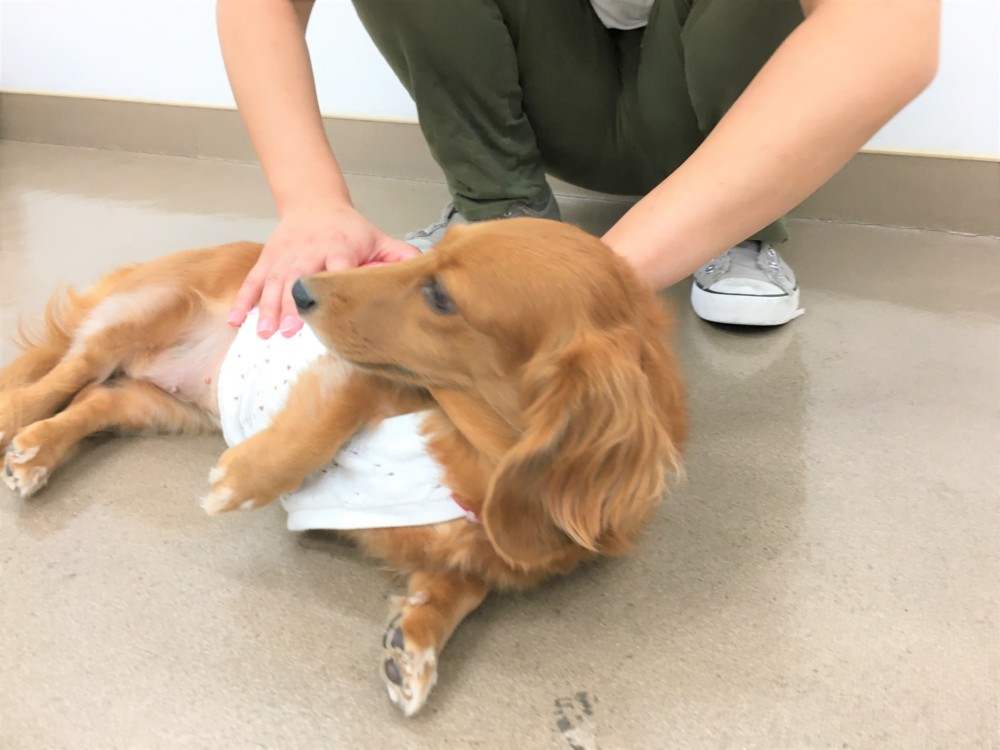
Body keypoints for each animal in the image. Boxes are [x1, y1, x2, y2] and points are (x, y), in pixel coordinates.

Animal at [0, 218, 686, 715]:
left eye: (441, 295)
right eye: (434, 253)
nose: (300, 289)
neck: (481, 459)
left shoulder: (478, 548)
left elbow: (462, 587)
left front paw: (416, 643)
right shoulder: (370, 376)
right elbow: (339, 404)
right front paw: (247, 477)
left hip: (160, 406)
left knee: (93, 402)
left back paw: (39, 451)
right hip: (140, 316)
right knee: (65, 374)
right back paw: (16, 421)